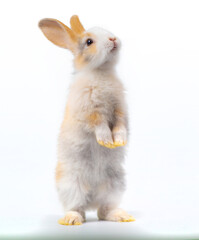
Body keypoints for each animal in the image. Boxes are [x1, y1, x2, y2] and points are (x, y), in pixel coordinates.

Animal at [38, 15, 135, 225]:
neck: (101, 71)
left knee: (103, 211)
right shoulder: (88, 111)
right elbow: (99, 125)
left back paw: (122, 216)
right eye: (89, 42)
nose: (113, 39)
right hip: (71, 185)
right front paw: (106, 141)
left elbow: (121, 125)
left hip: (115, 185)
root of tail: (92, 201)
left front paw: (119, 141)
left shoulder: (120, 109)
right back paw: (71, 220)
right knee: (77, 208)